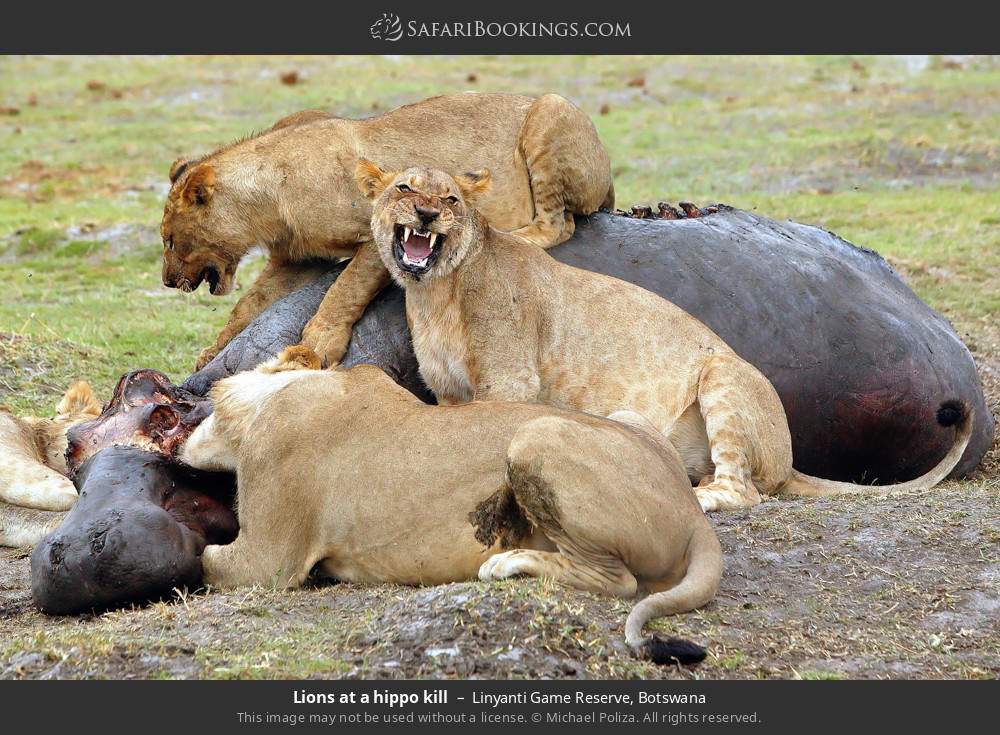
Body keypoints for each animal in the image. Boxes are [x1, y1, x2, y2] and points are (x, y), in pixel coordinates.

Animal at [160, 93, 613, 370]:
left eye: (169, 240)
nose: (165, 282)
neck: (269, 202)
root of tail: (607, 175)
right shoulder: (300, 258)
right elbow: (249, 305)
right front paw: (213, 350)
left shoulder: (377, 231)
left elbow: (345, 289)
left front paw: (317, 344)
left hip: (551, 109)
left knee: (558, 224)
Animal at [180, 347, 722, 665]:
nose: (184, 439)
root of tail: (694, 515)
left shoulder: (267, 559)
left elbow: (209, 560)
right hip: (626, 417)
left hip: (535, 435)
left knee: (620, 581)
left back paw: (508, 563)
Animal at [360, 164, 975, 512]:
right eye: (404, 188)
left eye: (452, 200)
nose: (426, 212)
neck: (437, 294)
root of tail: (789, 455)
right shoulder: (448, 393)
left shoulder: (510, 381)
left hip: (722, 375)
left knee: (743, 490)